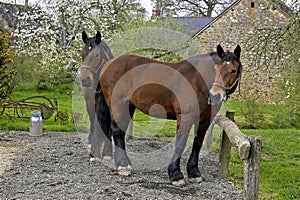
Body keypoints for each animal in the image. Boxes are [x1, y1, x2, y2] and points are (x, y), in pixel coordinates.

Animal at [80, 30, 114, 159]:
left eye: (96, 55)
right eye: (83, 53)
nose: (85, 79)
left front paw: (107, 152)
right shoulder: (92, 103)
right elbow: (95, 123)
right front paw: (95, 151)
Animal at [80, 44, 241, 186]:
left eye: (233, 70)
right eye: (216, 69)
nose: (215, 95)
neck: (197, 80)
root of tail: (109, 64)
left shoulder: (205, 120)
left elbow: (197, 143)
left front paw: (194, 173)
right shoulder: (185, 117)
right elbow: (180, 143)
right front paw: (176, 175)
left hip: (128, 106)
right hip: (118, 105)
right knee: (117, 132)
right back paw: (123, 166)